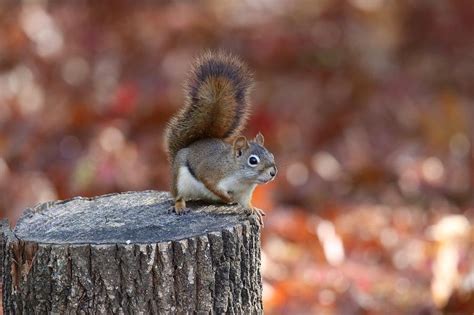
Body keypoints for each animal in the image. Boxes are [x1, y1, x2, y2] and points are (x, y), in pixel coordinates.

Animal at [165, 51, 278, 225]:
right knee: (178, 195)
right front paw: (227, 197)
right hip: (179, 179)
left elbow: (245, 203)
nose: (273, 173)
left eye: (271, 154)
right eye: (253, 160)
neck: (241, 179)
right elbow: (211, 184)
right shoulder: (210, 172)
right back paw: (180, 206)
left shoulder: (245, 193)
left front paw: (252, 209)